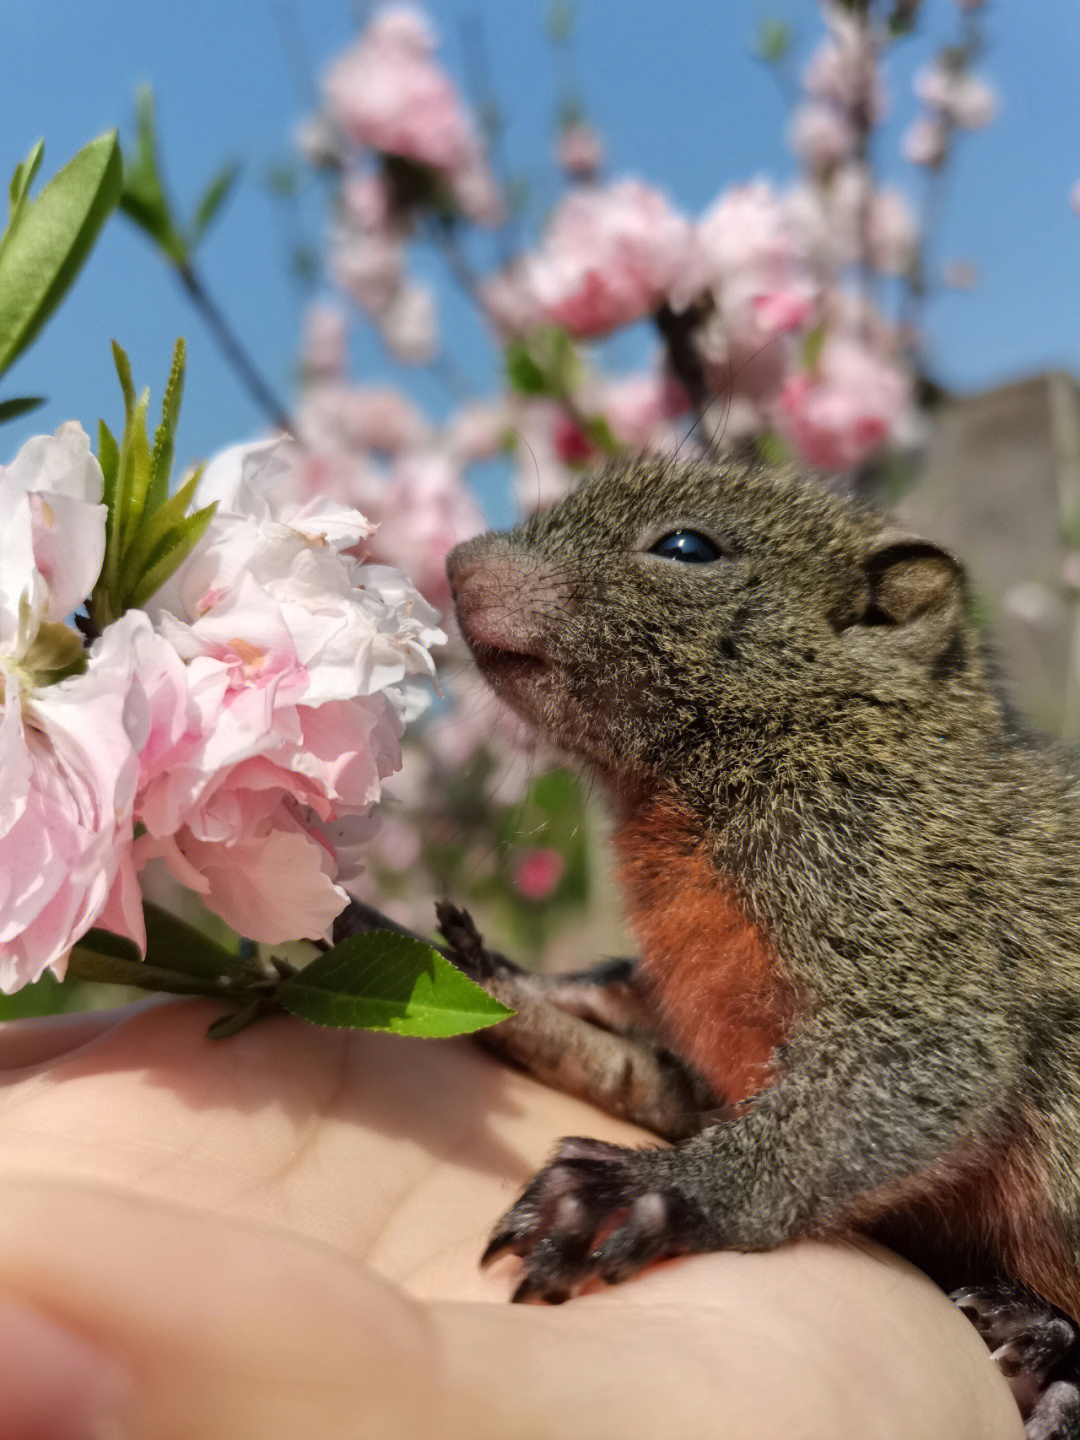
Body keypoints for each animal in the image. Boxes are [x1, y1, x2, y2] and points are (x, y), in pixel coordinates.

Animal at [440, 455, 1080, 1434]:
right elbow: (626, 991)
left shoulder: (883, 878)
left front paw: (660, 1194)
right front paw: (520, 979)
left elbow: (924, 1062)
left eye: (686, 547)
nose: (460, 564)